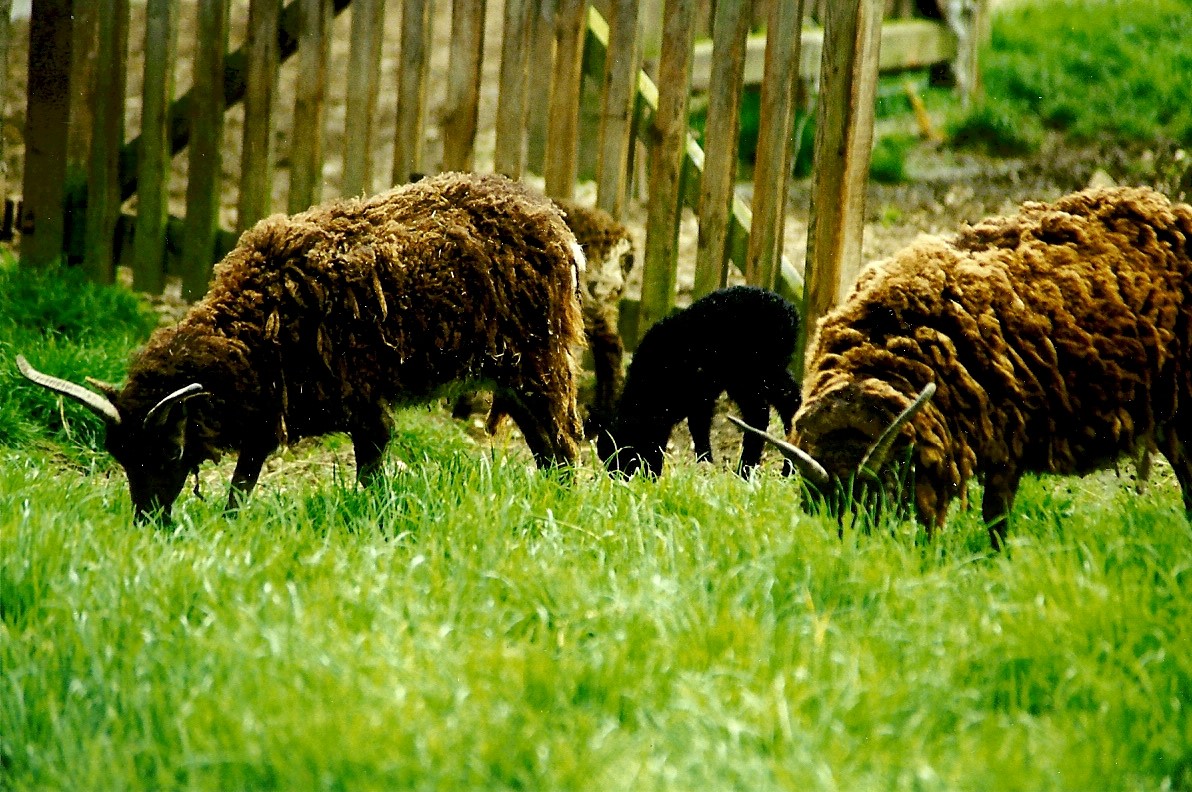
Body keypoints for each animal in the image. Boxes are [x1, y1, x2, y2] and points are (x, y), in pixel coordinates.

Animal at [17, 171, 587, 523]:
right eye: (120, 454)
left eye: (171, 449)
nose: (148, 523)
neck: (249, 328)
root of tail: (552, 218)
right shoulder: (269, 409)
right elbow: (242, 480)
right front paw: (229, 525)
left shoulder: (361, 404)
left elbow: (369, 470)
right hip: (513, 375)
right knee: (547, 450)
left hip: (540, 362)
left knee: (564, 447)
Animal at [597, 285, 803, 478]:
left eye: (629, 457)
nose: (640, 480)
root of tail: (790, 312)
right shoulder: (700, 397)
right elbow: (698, 426)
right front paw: (705, 462)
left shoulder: (696, 393)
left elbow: (697, 426)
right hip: (765, 371)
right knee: (788, 402)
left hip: (753, 371)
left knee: (762, 412)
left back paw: (751, 469)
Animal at [733, 186, 1192, 550]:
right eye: (819, 506)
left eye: (878, 491)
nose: (854, 556)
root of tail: (1172, 210)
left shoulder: (1006, 440)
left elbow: (994, 517)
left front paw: (995, 562)